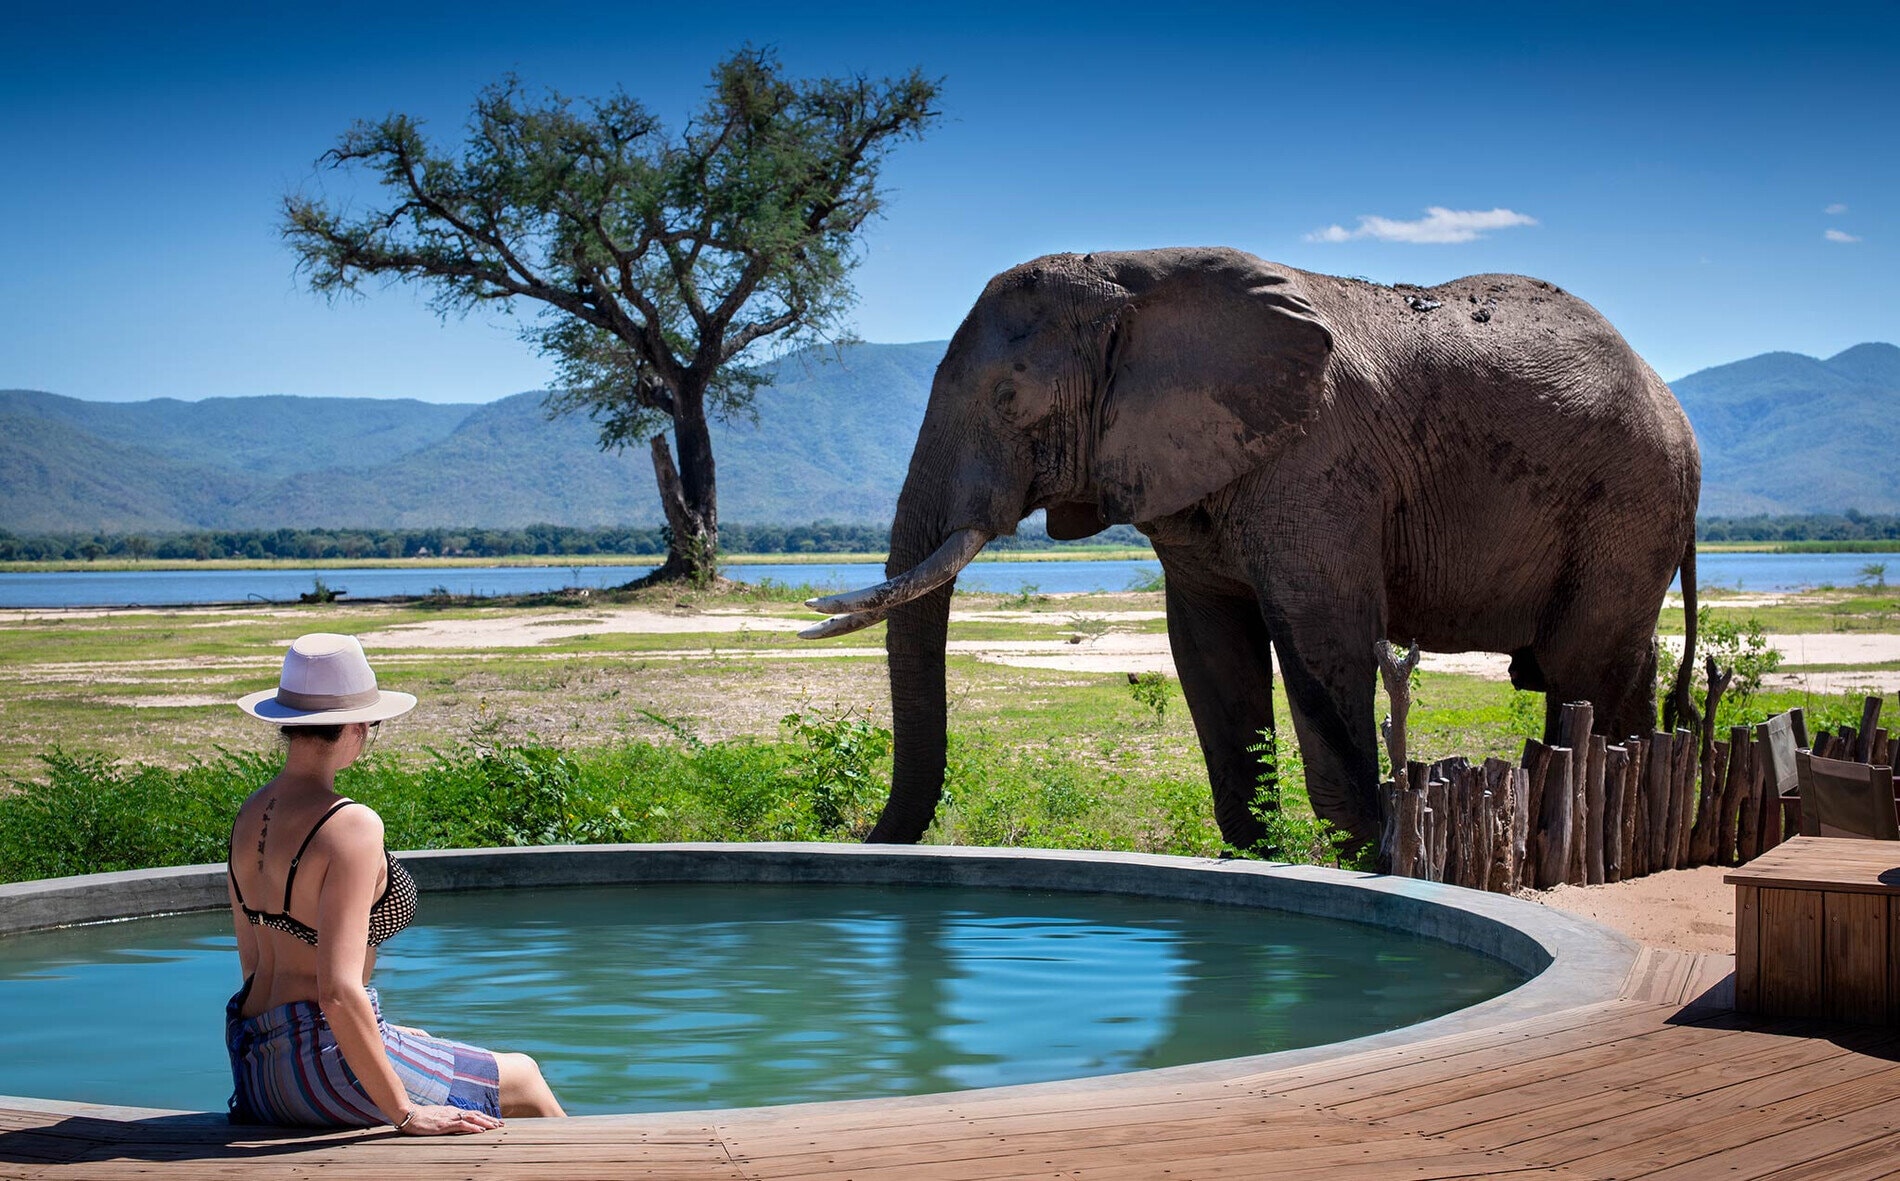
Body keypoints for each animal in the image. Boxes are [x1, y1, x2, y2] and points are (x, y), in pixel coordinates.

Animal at [802, 246, 1700, 852]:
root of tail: (1674, 408)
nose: (866, 842)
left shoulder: (1318, 464)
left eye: (1007, 397)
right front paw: (1263, 854)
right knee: (1613, 674)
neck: (1135, 277)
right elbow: (1209, 651)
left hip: (1630, 500)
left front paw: (1370, 859)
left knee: (1581, 669)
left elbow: (1323, 638)